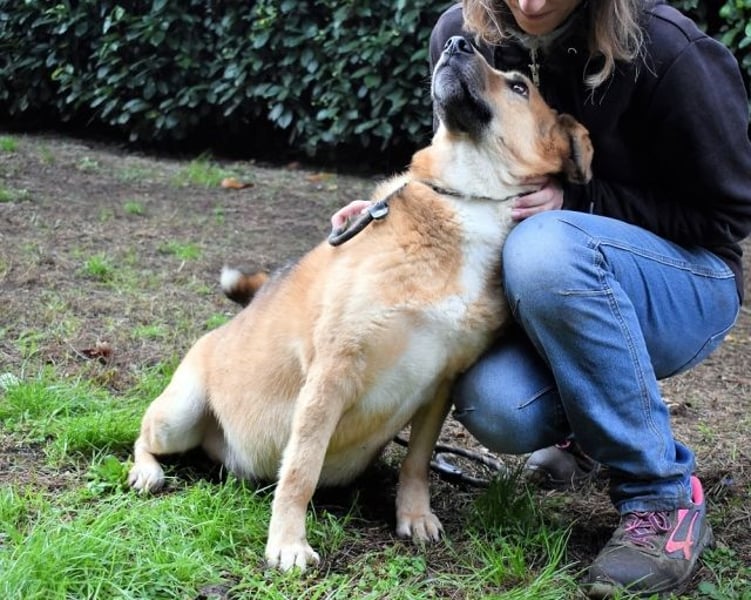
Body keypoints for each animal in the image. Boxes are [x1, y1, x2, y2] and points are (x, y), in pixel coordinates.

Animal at [128, 35, 592, 572]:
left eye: (519, 86)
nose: (458, 42)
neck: (468, 202)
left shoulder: (442, 384)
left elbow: (417, 463)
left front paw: (414, 515)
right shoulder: (332, 372)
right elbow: (301, 469)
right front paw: (287, 541)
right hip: (177, 416)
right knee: (143, 436)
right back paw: (145, 471)